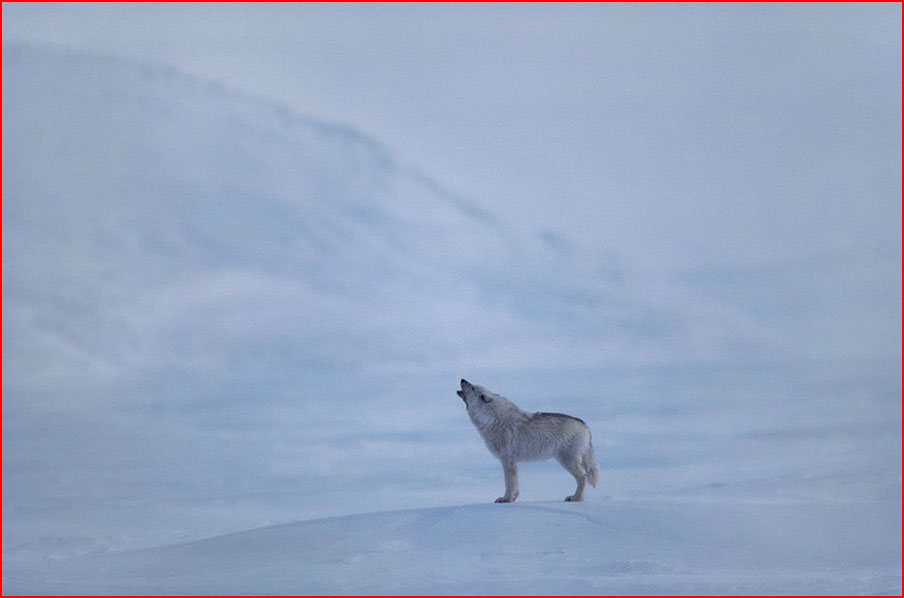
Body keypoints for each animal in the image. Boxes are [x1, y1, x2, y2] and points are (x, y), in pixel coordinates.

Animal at [460, 382, 600, 504]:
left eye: (472, 387)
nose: (462, 379)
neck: (491, 418)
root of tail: (584, 425)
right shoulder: (512, 462)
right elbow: (514, 485)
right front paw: (512, 498)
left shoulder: (507, 461)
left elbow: (509, 483)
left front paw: (506, 499)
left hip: (567, 461)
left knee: (583, 478)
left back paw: (576, 498)